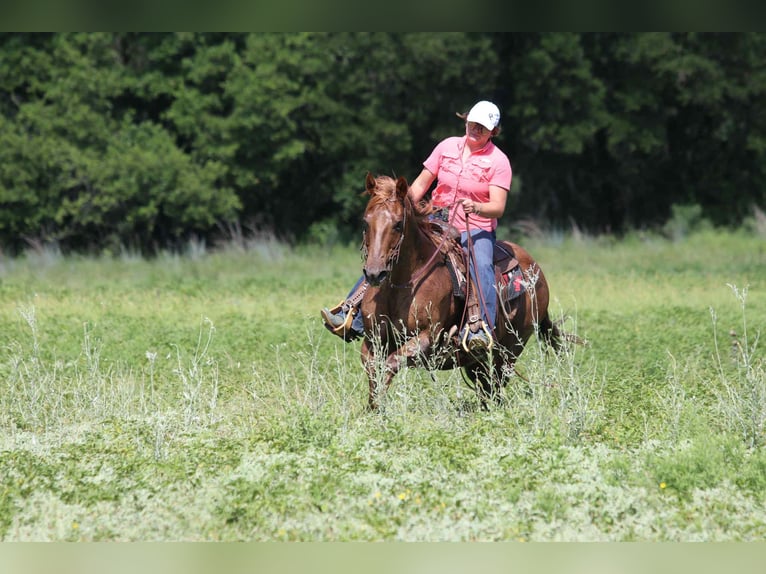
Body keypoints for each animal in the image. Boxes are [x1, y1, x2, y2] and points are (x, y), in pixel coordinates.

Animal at [358, 172, 563, 410]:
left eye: (398, 224)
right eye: (366, 222)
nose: (375, 273)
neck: (402, 284)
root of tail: (536, 271)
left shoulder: (429, 337)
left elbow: (390, 363)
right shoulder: (373, 340)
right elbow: (373, 369)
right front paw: (373, 410)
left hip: (511, 348)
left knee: (496, 384)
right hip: (477, 359)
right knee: (485, 385)